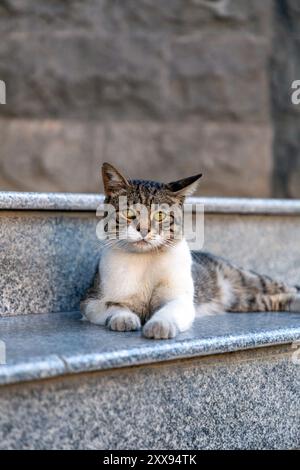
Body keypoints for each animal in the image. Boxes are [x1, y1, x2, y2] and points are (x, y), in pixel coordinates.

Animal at [80, 163, 300, 340]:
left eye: (160, 215)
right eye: (128, 213)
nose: (143, 230)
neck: (145, 261)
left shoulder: (181, 299)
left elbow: (169, 310)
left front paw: (160, 326)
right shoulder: (90, 300)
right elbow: (113, 306)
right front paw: (124, 318)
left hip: (250, 279)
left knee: (284, 287)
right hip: (246, 301)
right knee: (273, 300)